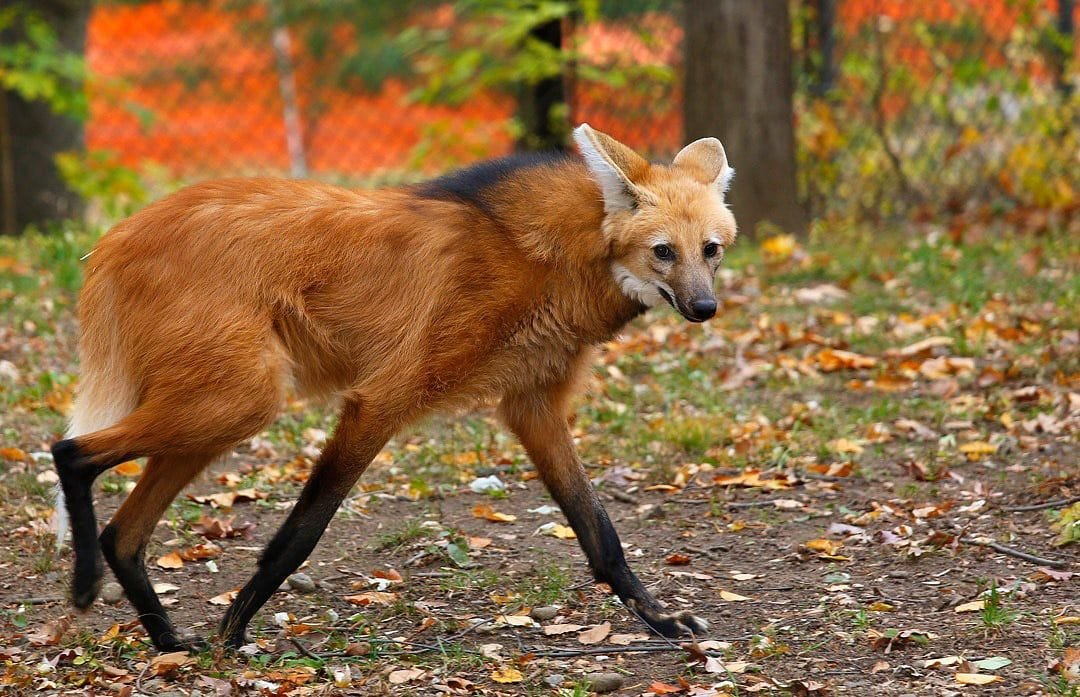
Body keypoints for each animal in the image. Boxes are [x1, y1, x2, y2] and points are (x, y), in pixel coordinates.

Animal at [54, 122, 738, 648]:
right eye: (663, 251)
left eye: (711, 250)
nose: (704, 307)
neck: (554, 258)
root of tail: (113, 239)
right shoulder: (382, 398)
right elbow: (301, 533)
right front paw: (234, 631)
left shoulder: (533, 407)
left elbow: (600, 532)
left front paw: (661, 621)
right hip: (242, 398)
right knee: (70, 452)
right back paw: (87, 587)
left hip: (220, 405)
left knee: (124, 533)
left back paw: (167, 639)